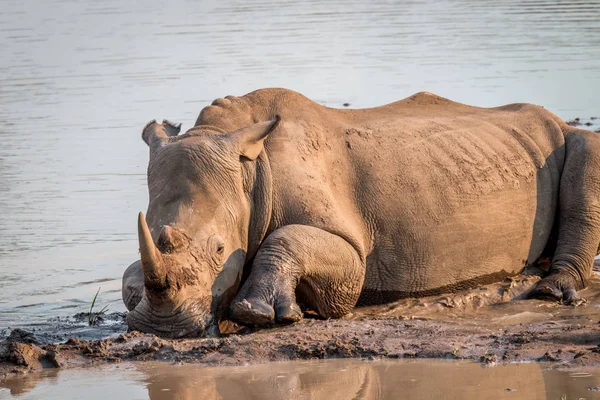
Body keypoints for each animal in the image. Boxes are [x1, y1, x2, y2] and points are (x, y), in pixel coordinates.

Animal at [122, 88, 600, 338]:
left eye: (221, 250)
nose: (163, 327)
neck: (248, 170)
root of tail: (554, 119)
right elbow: (128, 273)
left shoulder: (351, 249)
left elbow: (290, 240)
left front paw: (260, 314)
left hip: (566, 136)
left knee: (586, 152)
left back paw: (550, 292)